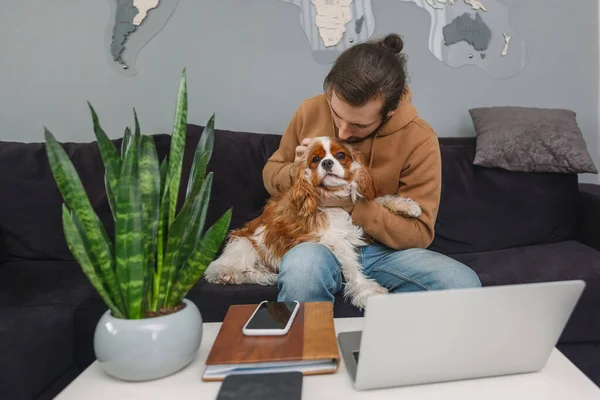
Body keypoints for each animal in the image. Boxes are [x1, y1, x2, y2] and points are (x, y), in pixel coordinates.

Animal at [205, 136, 422, 308]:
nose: (326, 163)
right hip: (245, 245)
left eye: (340, 155)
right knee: (218, 269)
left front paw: (406, 206)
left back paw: (268, 276)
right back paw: (229, 275)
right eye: (315, 159)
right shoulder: (334, 239)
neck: (333, 196)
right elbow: (352, 267)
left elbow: (380, 201)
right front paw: (367, 292)